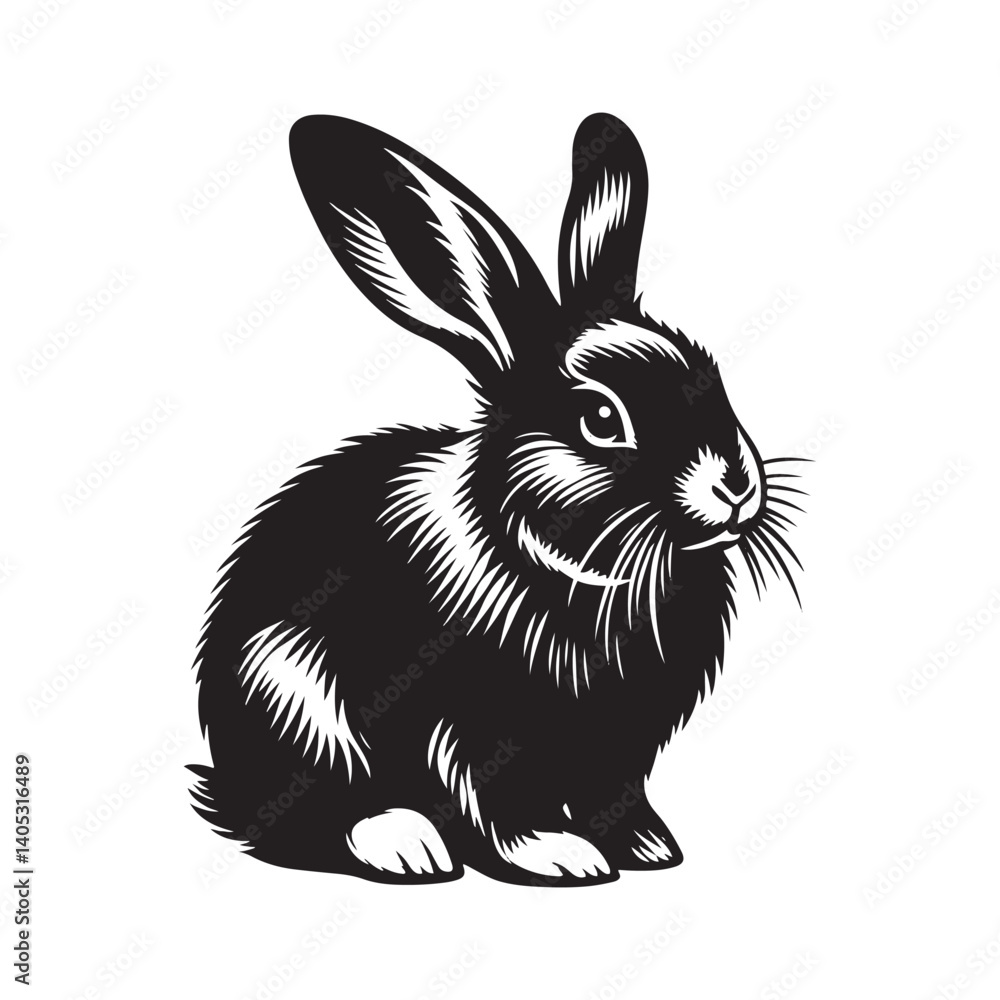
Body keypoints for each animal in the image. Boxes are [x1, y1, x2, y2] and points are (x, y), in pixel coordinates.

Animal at [189, 112, 803, 887]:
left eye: (712, 373)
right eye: (601, 418)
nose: (736, 486)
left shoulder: (619, 748)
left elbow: (615, 794)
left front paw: (647, 845)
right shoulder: (481, 727)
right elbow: (501, 799)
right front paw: (562, 856)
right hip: (293, 704)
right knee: (316, 811)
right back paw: (406, 844)